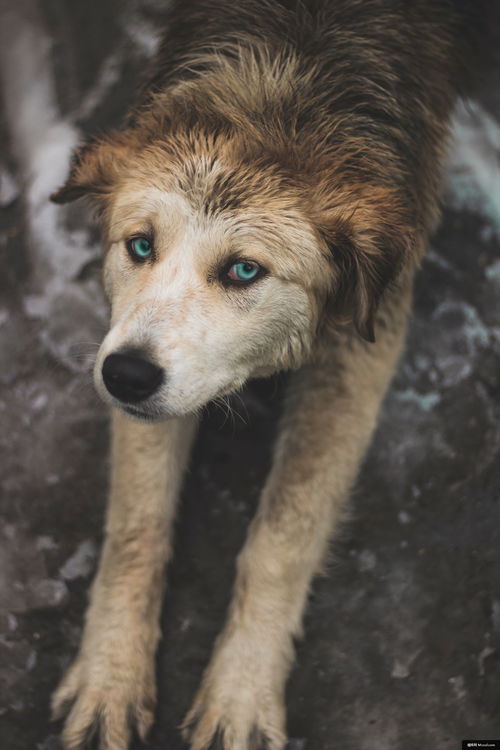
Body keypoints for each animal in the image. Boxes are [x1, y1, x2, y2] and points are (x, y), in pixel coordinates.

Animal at [49, 1, 480, 750]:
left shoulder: (361, 350)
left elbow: (281, 539)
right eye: (140, 246)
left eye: (244, 270)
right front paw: (109, 677)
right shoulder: (129, 350)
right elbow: (136, 527)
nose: (125, 376)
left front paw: (241, 693)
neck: (284, 84)